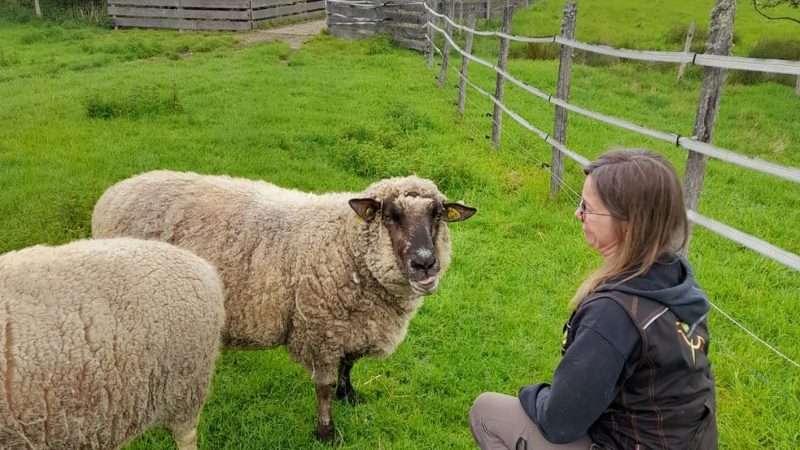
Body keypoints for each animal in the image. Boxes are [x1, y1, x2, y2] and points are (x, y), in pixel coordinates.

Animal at [89, 169, 476, 440]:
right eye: (390, 215)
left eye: (438, 215)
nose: (425, 263)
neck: (346, 244)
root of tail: (113, 193)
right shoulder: (320, 329)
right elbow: (323, 387)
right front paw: (327, 432)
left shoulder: (350, 325)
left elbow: (349, 364)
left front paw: (350, 395)